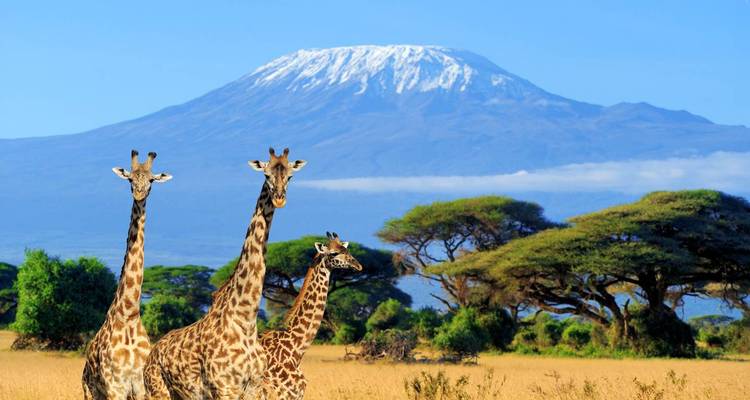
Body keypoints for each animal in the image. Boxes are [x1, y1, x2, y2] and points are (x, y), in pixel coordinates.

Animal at [82, 150, 172, 400]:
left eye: (151, 180)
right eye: (130, 179)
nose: (139, 194)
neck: (129, 313)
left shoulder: (140, 386)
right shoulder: (115, 386)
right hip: (90, 391)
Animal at [144, 147, 306, 400]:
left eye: (290, 176)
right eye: (266, 175)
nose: (279, 198)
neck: (246, 320)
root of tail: (152, 353)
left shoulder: (252, 388)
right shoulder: (224, 388)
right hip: (157, 391)